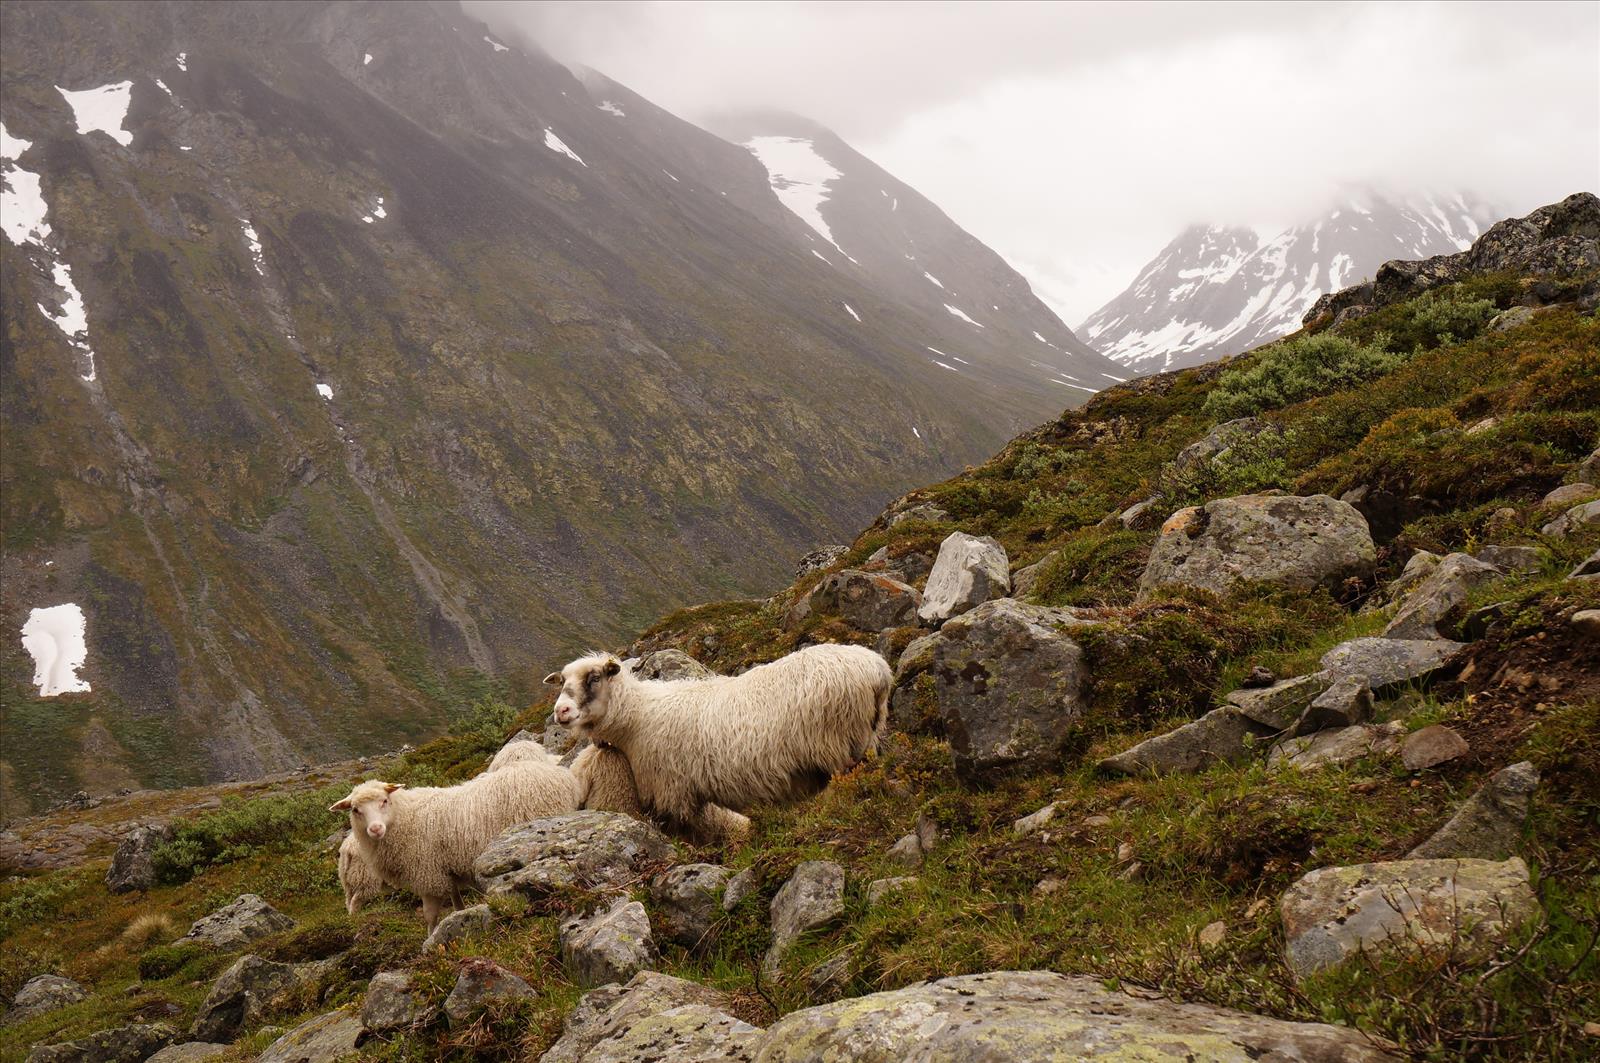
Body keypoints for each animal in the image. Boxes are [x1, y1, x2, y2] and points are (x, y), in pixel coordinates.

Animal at [329, 758, 582, 928]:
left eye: (384, 801)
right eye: (355, 810)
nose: (375, 829)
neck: (406, 817)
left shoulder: (427, 873)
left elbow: (430, 915)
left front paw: (430, 941)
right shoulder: (445, 871)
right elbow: (456, 902)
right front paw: (457, 918)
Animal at [540, 643, 889, 845]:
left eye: (594, 678)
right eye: (562, 683)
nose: (561, 711)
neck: (639, 717)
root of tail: (878, 670)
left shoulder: (671, 790)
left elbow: (683, 831)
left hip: (838, 745)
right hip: (864, 739)